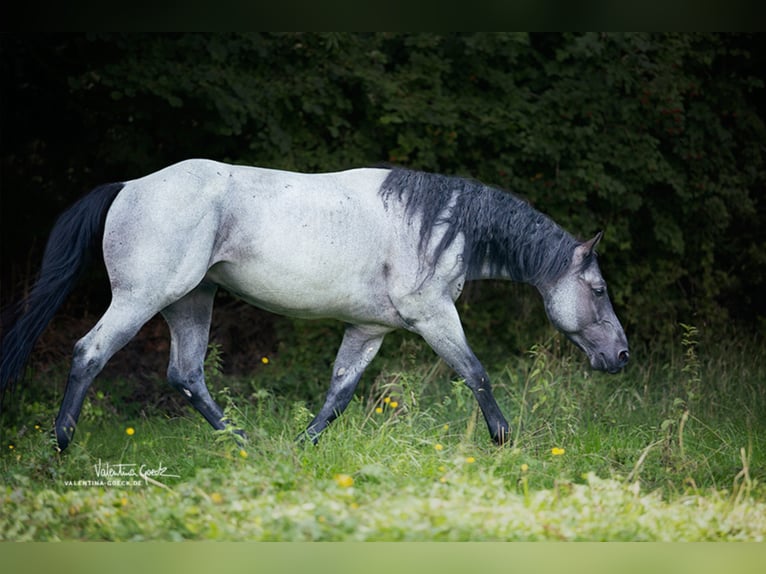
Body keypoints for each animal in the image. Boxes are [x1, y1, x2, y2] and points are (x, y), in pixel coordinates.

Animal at [0, 159, 629, 451]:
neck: (436, 224)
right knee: (89, 353)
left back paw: (244, 445)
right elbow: (476, 372)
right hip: (143, 298)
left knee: (186, 374)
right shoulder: (431, 316)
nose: (621, 356)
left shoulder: (369, 329)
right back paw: (62, 446)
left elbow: (339, 393)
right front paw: (503, 441)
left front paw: (303, 447)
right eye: (598, 290)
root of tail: (130, 186)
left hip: (190, 302)